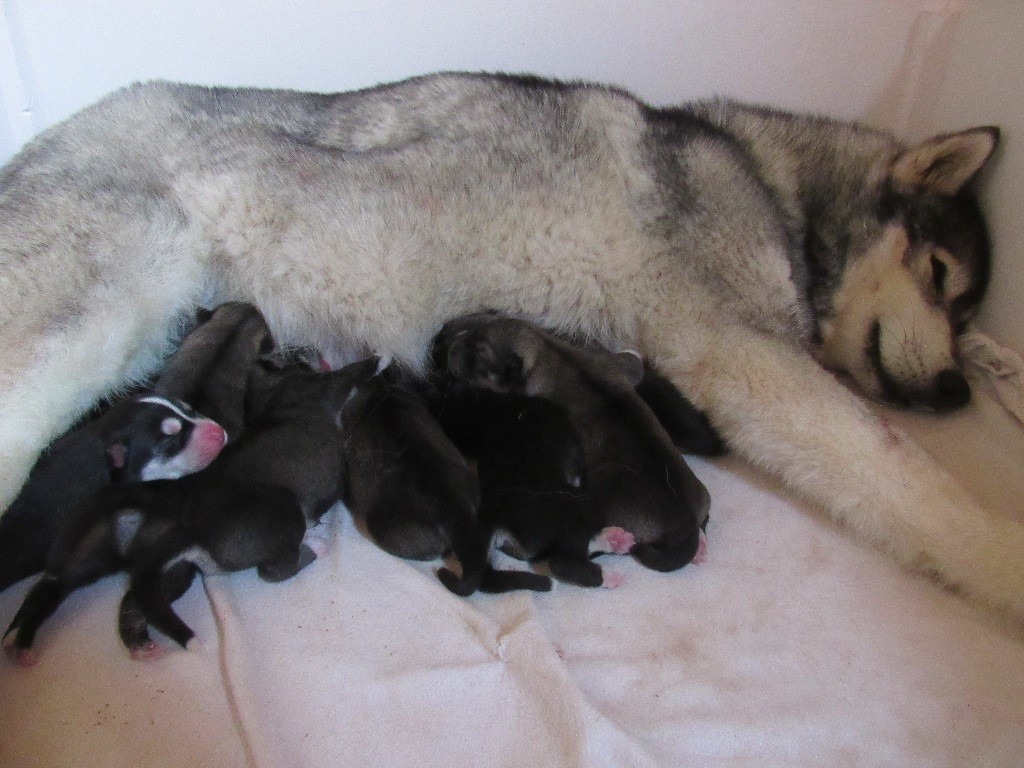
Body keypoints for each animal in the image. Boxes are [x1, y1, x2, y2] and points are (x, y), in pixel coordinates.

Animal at [2, 358, 378, 663]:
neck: (283, 393)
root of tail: (191, 527)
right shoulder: (323, 387)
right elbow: (350, 372)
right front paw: (374, 360)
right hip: (282, 509)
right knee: (274, 570)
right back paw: (313, 546)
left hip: (159, 572)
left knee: (125, 602)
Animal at [438, 313, 712, 581]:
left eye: (481, 352)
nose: (450, 349)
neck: (545, 348)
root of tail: (685, 524)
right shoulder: (618, 365)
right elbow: (631, 362)